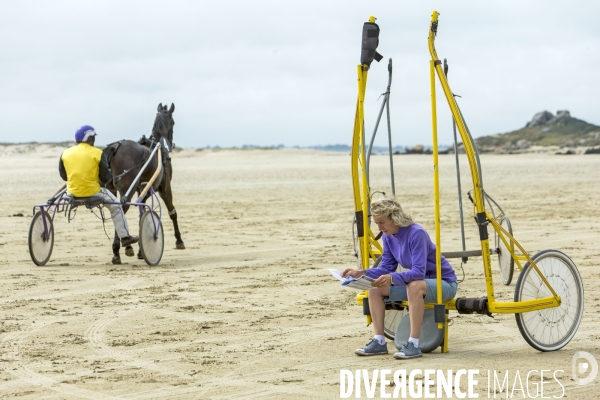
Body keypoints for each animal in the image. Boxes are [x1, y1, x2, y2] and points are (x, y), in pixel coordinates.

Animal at [104, 104, 185, 266]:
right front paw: (179, 240)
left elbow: (142, 214)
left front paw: (141, 251)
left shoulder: (142, 189)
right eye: (173, 122)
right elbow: (172, 212)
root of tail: (116, 146)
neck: (158, 148)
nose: (171, 145)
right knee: (121, 208)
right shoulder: (165, 188)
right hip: (126, 188)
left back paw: (124, 246)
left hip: (112, 188)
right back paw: (119, 247)